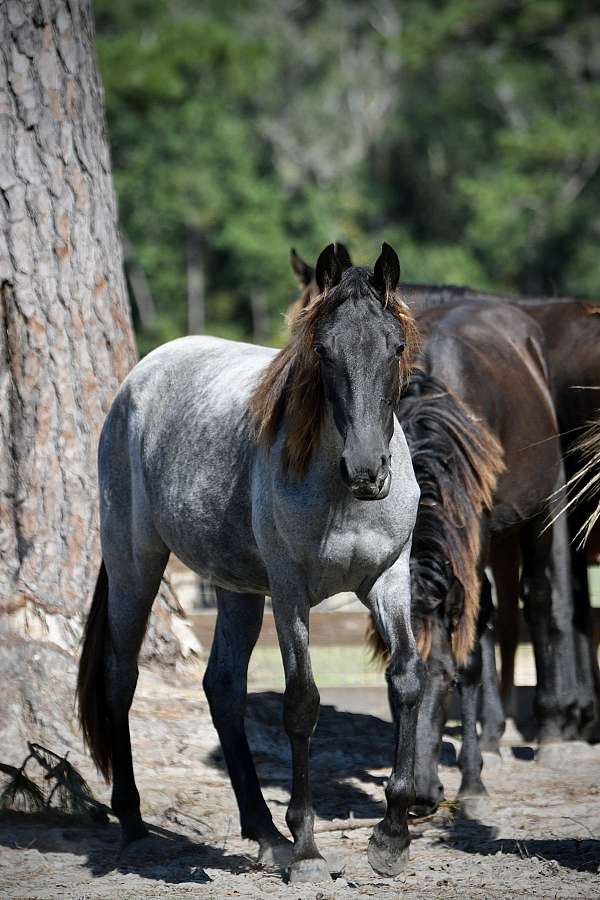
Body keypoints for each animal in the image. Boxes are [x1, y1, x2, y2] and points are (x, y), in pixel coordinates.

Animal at [78, 243, 422, 884]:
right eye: (323, 350)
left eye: (395, 347)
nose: (368, 471)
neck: (340, 496)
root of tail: (141, 376)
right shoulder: (290, 592)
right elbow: (302, 703)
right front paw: (309, 851)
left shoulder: (388, 580)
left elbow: (408, 678)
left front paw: (391, 839)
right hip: (136, 562)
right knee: (120, 676)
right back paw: (134, 824)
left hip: (235, 588)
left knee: (222, 687)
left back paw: (264, 834)